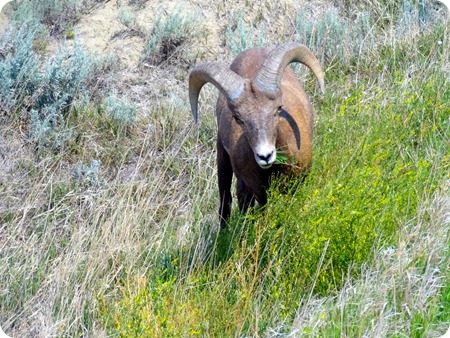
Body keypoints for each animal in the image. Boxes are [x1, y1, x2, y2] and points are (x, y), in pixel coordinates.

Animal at [188, 42, 326, 227]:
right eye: (239, 119)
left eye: (278, 109)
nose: (265, 156)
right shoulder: (256, 189)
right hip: (223, 162)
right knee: (226, 198)